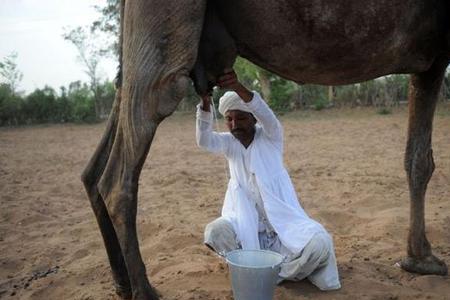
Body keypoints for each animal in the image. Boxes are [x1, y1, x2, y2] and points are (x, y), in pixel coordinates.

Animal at [81, 0, 450, 298]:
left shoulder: (429, 61)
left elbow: (417, 158)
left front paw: (419, 259)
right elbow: (423, 159)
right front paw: (425, 259)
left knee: (94, 168)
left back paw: (122, 284)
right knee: (120, 170)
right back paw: (144, 291)